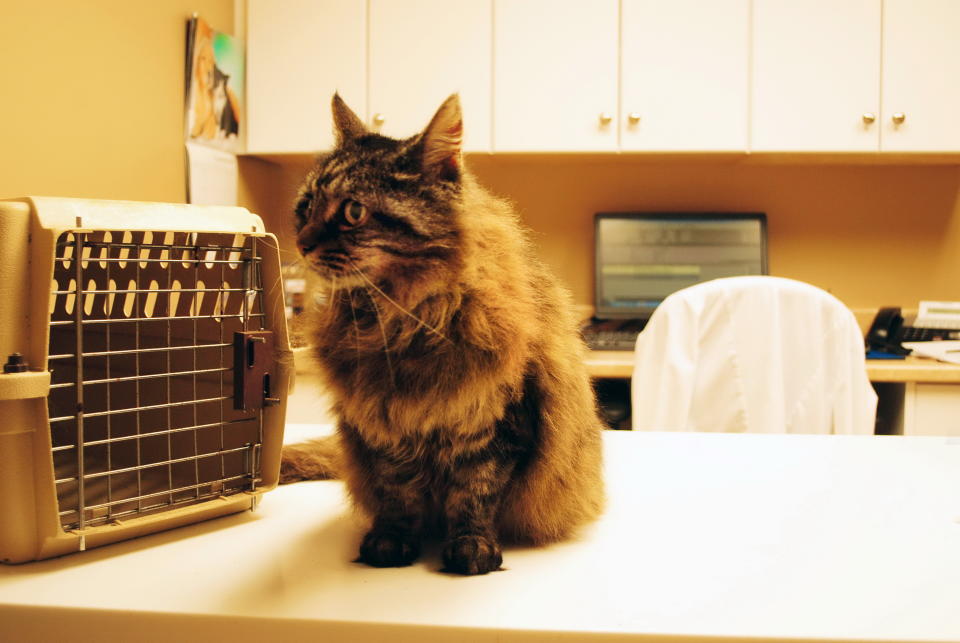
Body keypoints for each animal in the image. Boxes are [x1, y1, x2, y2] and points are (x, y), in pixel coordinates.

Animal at [282, 93, 604, 576]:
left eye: (354, 212)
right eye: (304, 206)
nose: (302, 243)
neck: (402, 322)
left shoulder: (495, 423)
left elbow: (474, 493)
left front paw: (472, 548)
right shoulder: (384, 426)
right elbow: (398, 494)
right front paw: (391, 542)